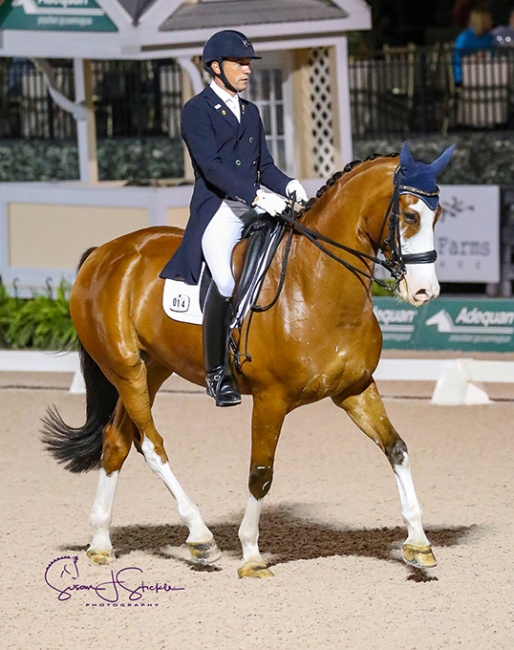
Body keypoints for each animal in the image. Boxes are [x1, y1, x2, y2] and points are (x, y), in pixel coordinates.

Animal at [43, 143, 452, 576]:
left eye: (438, 214)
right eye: (410, 215)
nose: (425, 291)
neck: (315, 283)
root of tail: (103, 253)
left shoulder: (355, 389)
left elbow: (396, 449)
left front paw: (419, 544)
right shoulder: (271, 399)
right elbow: (261, 473)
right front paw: (252, 555)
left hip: (150, 368)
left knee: (117, 441)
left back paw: (101, 542)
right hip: (125, 369)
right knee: (152, 445)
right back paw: (200, 537)